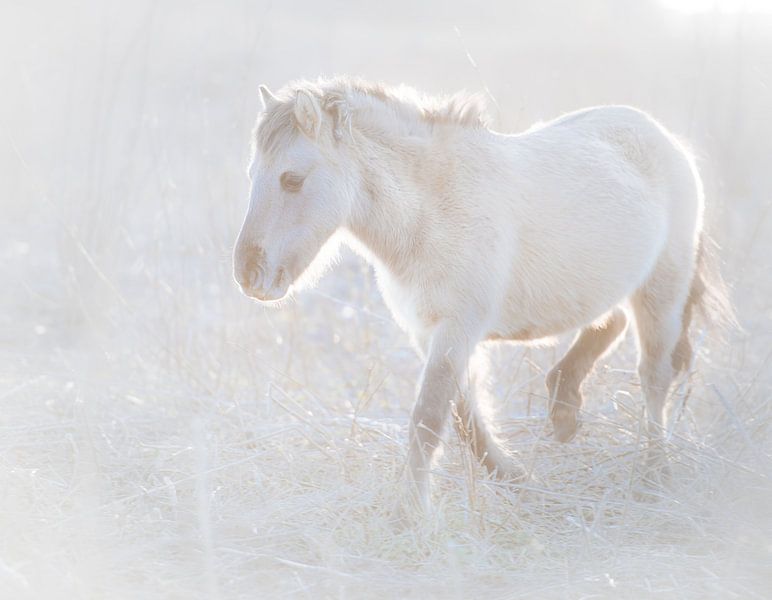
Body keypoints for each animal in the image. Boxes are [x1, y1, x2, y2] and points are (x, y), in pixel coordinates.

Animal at [232, 76, 732, 510]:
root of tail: (666, 139)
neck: (432, 210)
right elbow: (464, 418)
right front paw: (513, 477)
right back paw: (565, 408)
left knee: (654, 378)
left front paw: (411, 514)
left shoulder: (457, 329)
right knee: (610, 323)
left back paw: (654, 471)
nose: (247, 274)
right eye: (252, 174)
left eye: (291, 179)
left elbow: (429, 418)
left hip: (662, 291)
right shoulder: (429, 332)